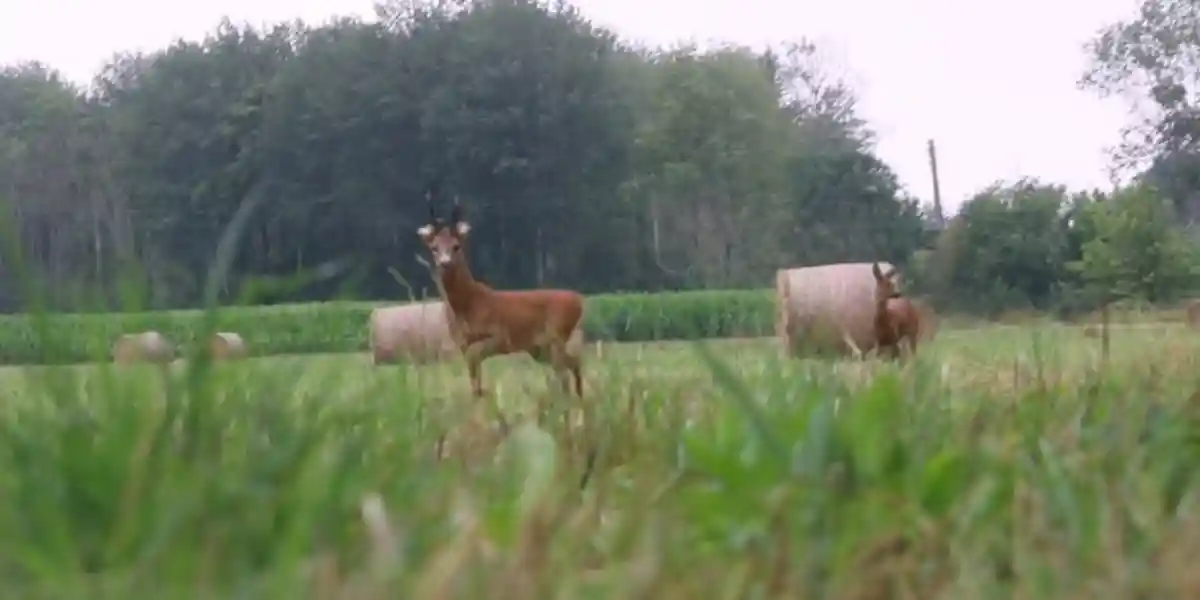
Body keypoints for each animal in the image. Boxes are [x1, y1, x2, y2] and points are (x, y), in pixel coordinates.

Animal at [417, 194, 585, 403]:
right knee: (572, 366)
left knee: (566, 371)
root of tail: (579, 300)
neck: (468, 303)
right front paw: (478, 400)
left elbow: (476, 360)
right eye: (434, 247)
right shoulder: (462, 344)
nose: (445, 263)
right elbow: (474, 377)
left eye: (456, 246)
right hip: (541, 348)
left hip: (557, 335)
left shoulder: (500, 335)